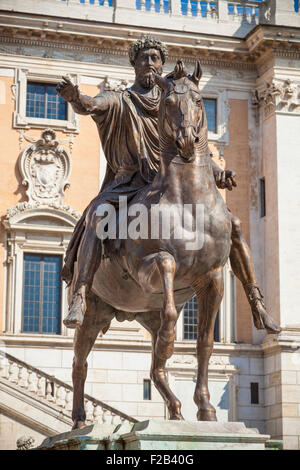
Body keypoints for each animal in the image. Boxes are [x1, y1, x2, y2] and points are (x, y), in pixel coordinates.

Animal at [69, 60, 232, 432]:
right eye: (168, 104)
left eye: (200, 101)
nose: (187, 141)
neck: (189, 202)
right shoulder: (147, 270)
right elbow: (167, 269)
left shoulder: (214, 278)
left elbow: (203, 344)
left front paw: (205, 408)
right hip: (93, 313)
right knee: (79, 363)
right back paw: (80, 419)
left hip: (143, 314)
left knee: (156, 369)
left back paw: (175, 407)